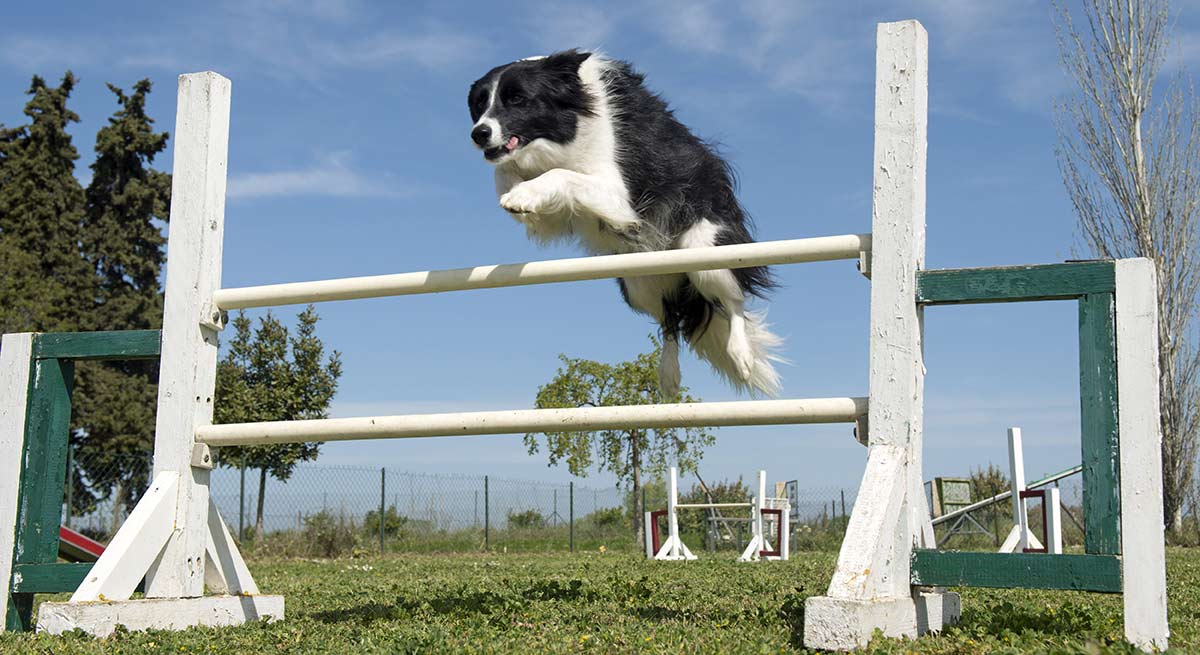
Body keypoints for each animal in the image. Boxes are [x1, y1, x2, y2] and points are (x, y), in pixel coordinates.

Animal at [463, 49, 782, 393]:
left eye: (517, 99)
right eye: (479, 105)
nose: (479, 134)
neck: (570, 126)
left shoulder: (619, 195)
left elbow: (561, 174)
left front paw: (521, 194)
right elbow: (505, 173)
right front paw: (515, 192)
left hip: (705, 253)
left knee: (732, 302)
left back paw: (741, 356)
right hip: (638, 282)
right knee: (669, 318)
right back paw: (669, 377)